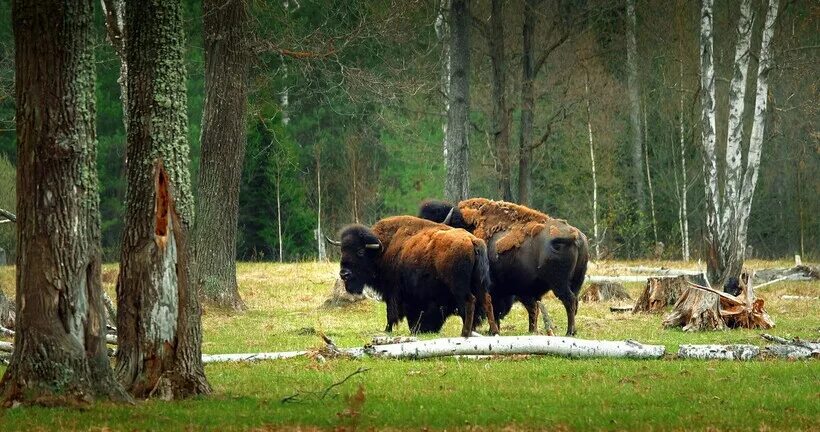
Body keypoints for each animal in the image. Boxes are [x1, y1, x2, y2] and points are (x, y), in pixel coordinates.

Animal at [328, 216, 500, 338]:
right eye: (343, 250)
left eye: (360, 252)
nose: (344, 273)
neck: (382, 249)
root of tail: (472, 240)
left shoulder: (392, 291)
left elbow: (391, 312)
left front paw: (388, 329)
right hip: (479, 283)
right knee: (487, 300)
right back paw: (493, 331)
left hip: (459, 287)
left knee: (470, 302)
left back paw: (465, 333)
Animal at [420, 197, 588, 336]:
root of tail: (576, 236)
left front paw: (489, 330)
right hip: (574, 283)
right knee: (568, 303)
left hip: (559, 284)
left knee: (569, 301)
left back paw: (569, 332)